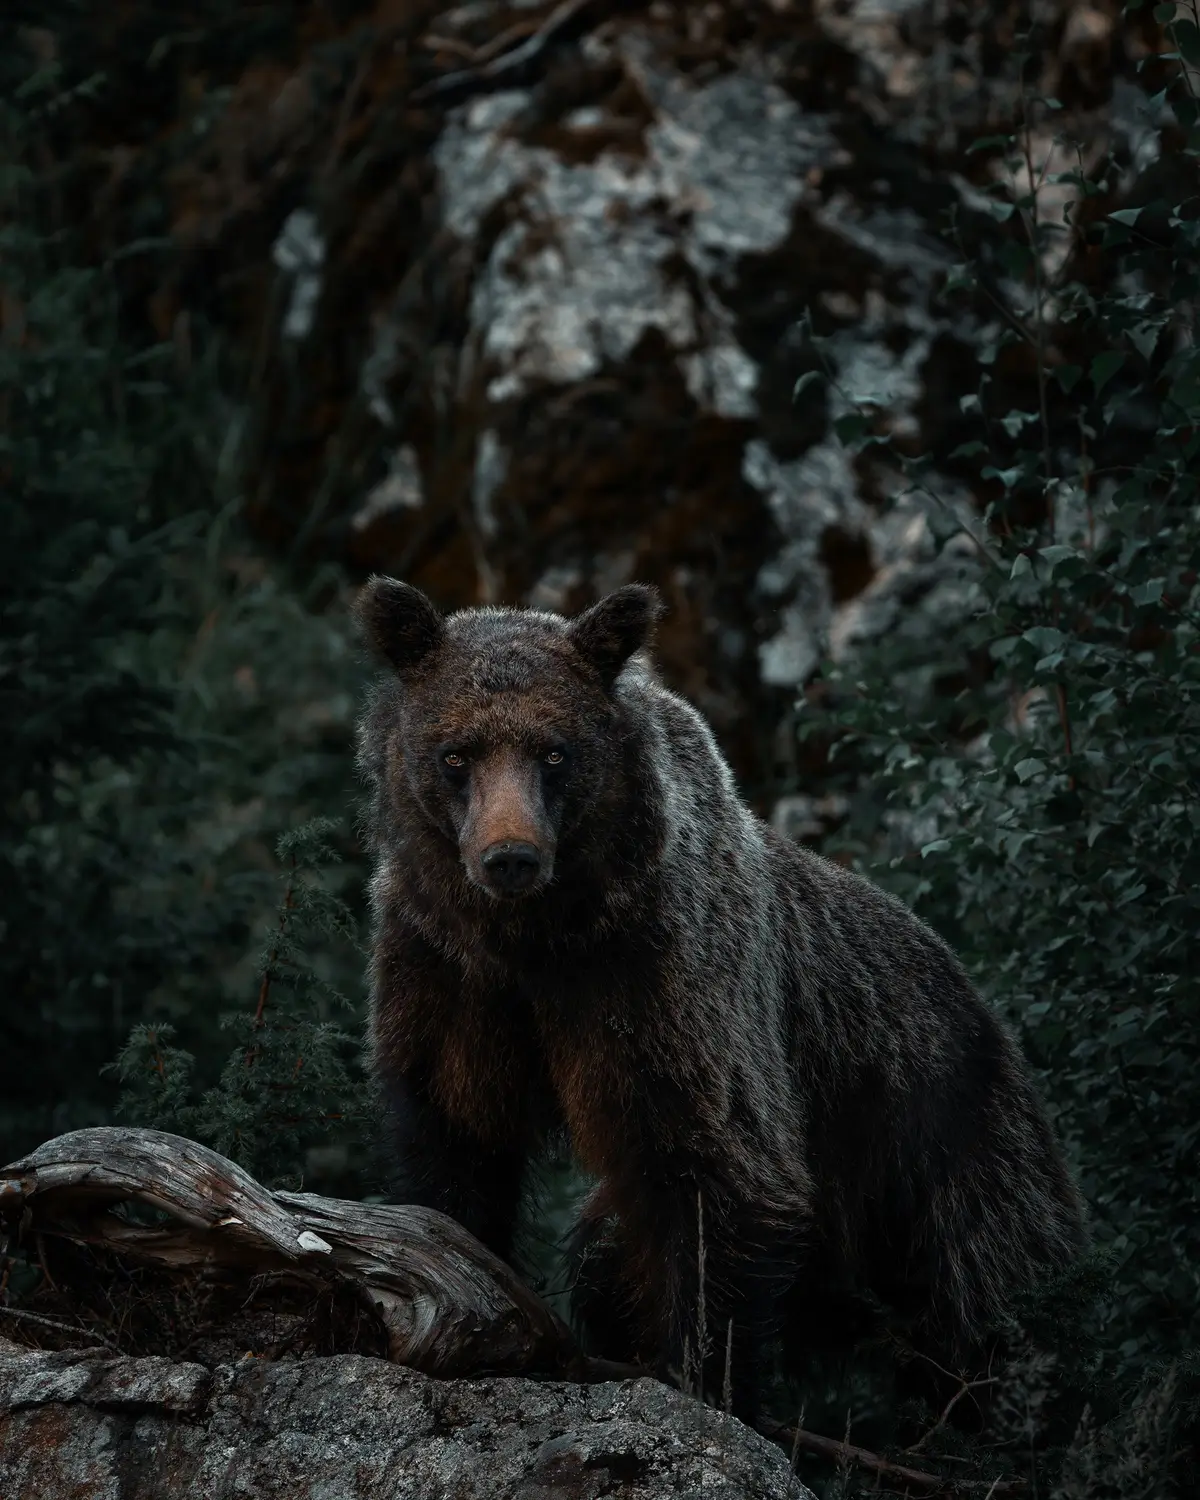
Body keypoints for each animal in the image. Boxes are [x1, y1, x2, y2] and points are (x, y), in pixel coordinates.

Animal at [357, 579, 1086, 1422]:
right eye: (456, 754)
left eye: (555, 751)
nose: (510, 856)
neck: (539, 939)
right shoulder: (447, 978)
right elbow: (454, 1144)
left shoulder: (668, 985)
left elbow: (722, 1176)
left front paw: (703, 1381)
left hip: (943, 1137)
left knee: (988, 1294)